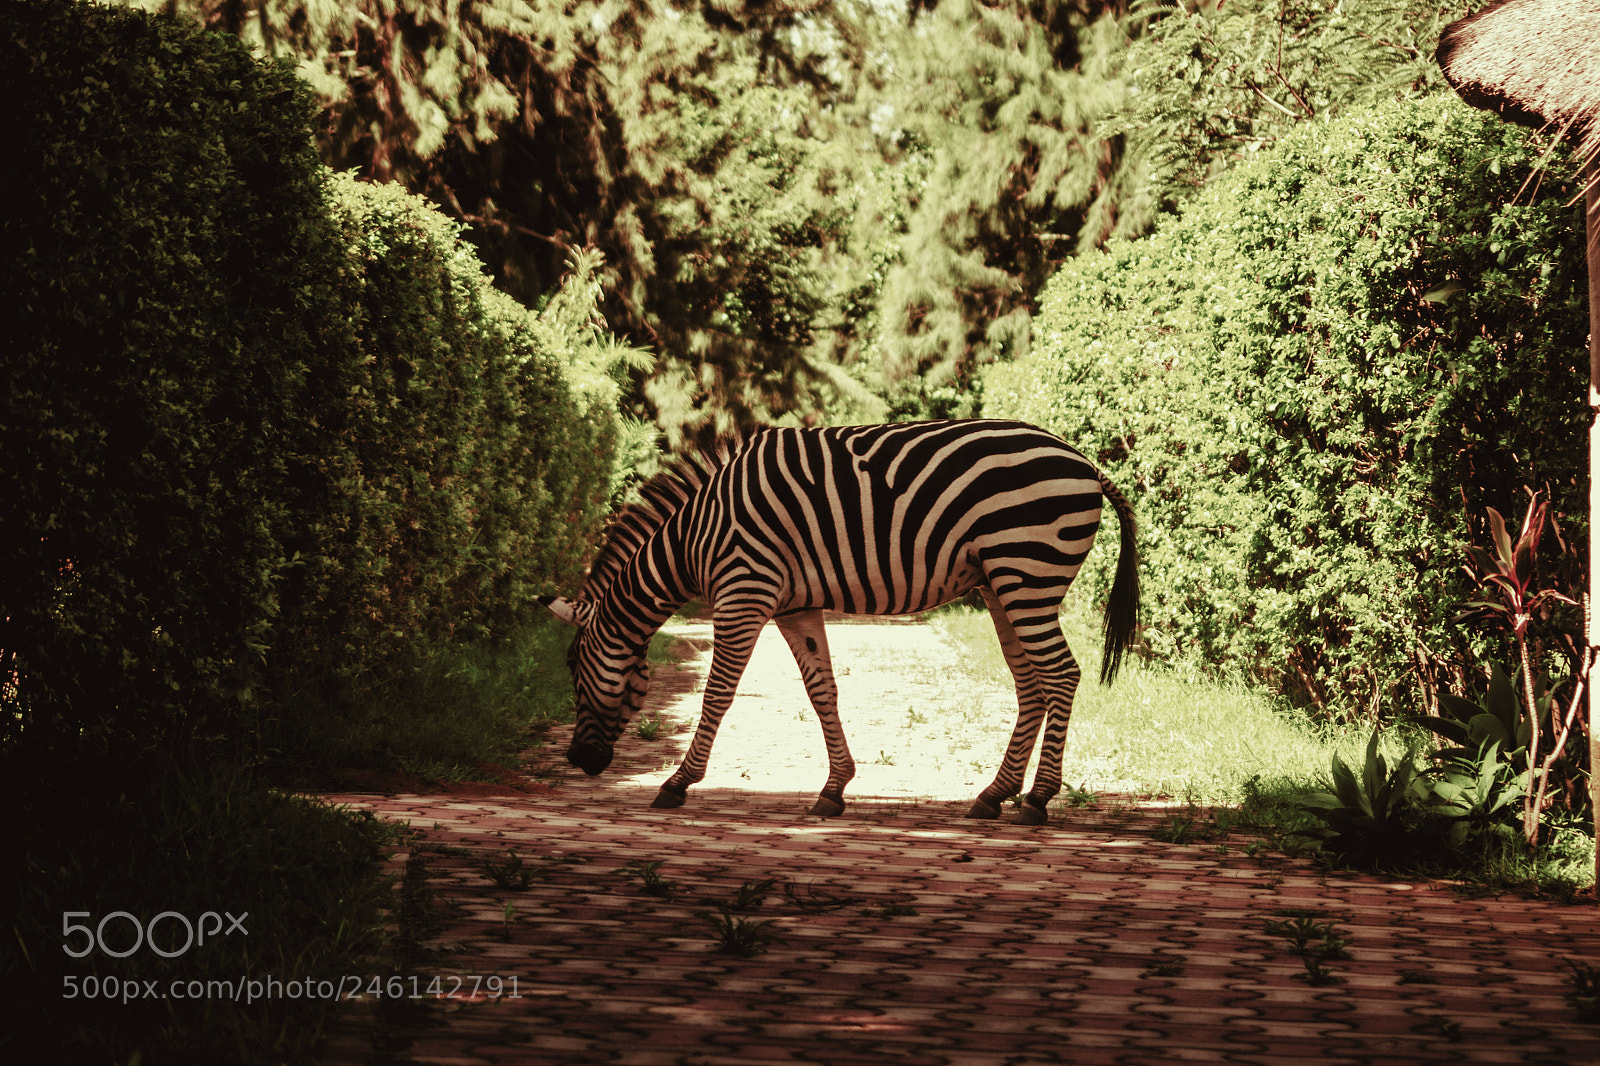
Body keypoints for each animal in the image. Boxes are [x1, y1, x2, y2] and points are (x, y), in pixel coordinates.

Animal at [541, 418, 1138, 825]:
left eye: (572, 666)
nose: (578, 760)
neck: (695, 536)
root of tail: (1084, 461)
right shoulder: (793, 606)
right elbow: (821, 689)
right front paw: (834, 789)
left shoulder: (743, 593)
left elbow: (718, 694)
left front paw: (678, 782)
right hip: (1002, 584)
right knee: (1031, 683)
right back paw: (993, 795)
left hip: (1027, 573)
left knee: (1061, 675)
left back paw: (1037, 799)